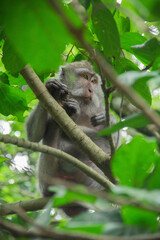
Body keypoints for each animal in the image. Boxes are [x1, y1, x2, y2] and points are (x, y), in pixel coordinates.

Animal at [26, 61, 120, 217]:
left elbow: (110, 151)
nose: (91, 90)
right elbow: (33, 135)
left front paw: (109, 119)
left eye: (93, 81)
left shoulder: (100, 109)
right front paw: (51, 88)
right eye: (85, 77)